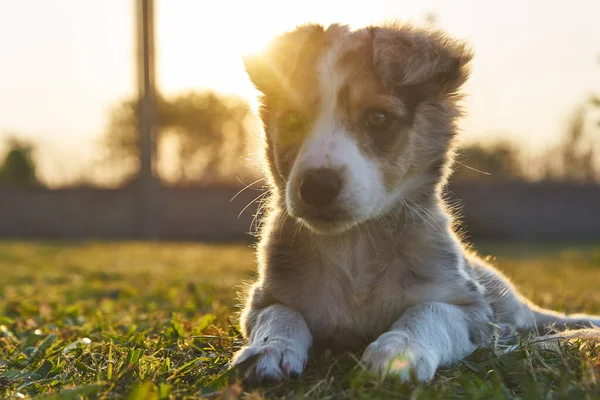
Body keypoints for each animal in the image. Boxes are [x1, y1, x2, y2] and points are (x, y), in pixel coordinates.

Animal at [231, 21, 600, 382]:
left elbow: (430, 311)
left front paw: (399, 349)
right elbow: (281, 314)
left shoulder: (471, 308)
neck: (355, 246)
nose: (316, 187)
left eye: (378, 118)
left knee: (542, 317)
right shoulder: (263, 298)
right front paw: (270, 348)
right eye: (293, 118)